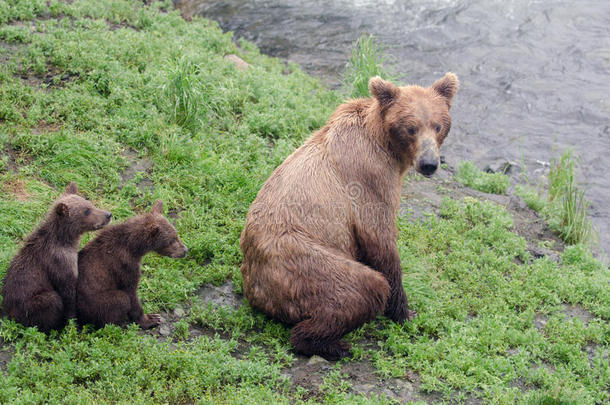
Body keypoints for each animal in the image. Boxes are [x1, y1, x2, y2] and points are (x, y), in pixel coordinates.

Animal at [238, 72, 456, 356]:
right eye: (411, 127)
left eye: (438, 126)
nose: (429, 164)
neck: (387, 146)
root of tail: (254, 289)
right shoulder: (369, 176)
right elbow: (379, 239)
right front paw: (405, 313)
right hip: (300, 261)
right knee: (361, 287)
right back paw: (333, 345)